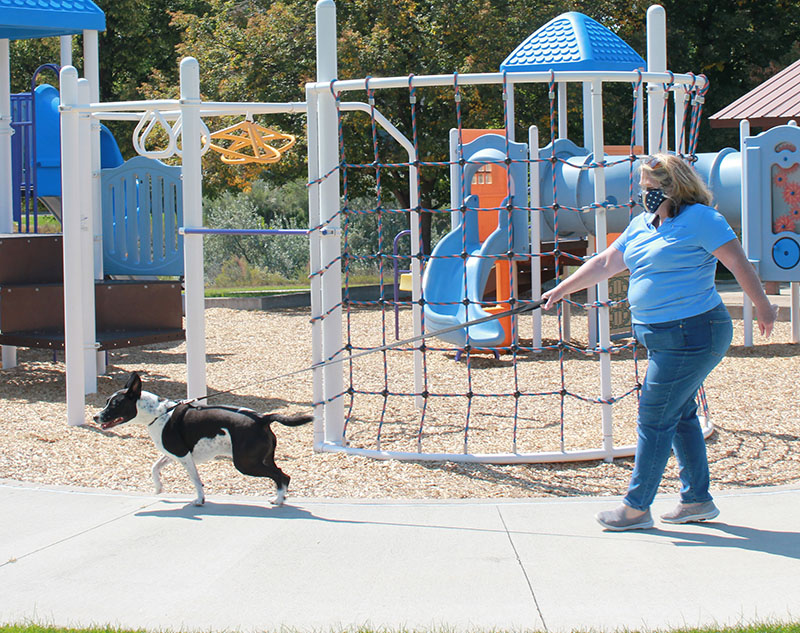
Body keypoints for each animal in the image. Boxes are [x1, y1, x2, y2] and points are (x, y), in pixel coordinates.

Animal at [95, 372, 314, 506]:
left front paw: (199, 500)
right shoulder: (173, 454)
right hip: (263, 459)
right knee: (281, 475)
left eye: (114, 404)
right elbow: (154, 467)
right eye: (106, 402)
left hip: (246, 463)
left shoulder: (183, 456)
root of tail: (262, 418)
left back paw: (279, 500)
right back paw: (280, 498)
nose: (96, 417)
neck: (159, 413)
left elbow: (195, 480)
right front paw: (158, 488)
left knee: (281, 476)